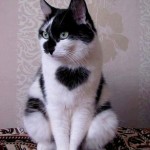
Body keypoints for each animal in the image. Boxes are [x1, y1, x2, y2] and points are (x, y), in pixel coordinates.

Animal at [23, 0, 118, 150]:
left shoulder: (84, 108)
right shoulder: (55, 107)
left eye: (64, 35)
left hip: (105, 120)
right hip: (35, 115)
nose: (47, 48)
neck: (70, 69)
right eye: (45, 34)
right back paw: (43, 146)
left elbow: (75, 138)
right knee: (47, 138)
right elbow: (61, 137)